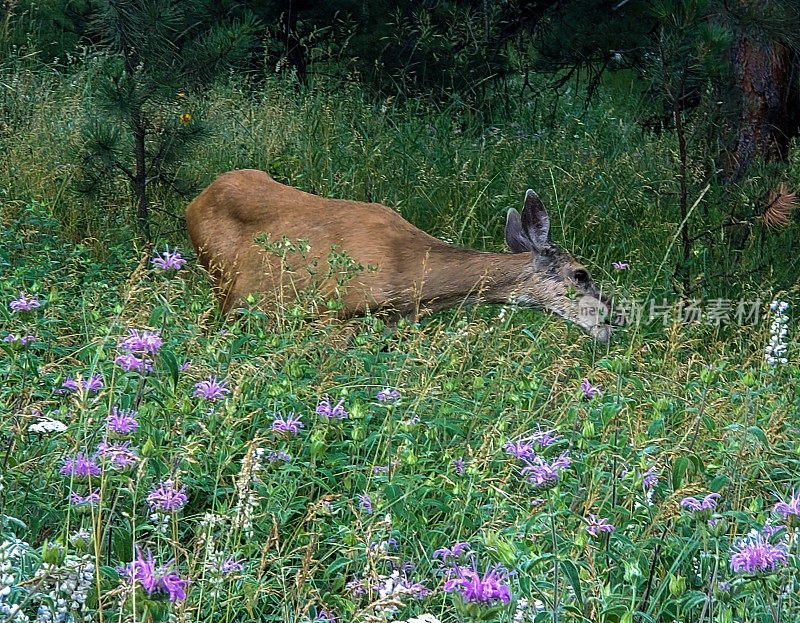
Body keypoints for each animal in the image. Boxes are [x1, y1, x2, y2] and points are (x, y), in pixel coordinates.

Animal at [184, 168, 620, 342]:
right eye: (581, 273)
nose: (613, 319)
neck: (410, 276)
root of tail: (195, 200)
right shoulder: (331, 313)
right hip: (224, 287)